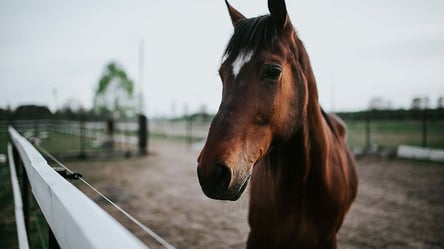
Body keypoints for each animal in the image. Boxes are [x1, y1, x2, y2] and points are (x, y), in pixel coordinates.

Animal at [197, 0, 358, 248]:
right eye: (222, 73)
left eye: (273, 71)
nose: (211, 172)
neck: (302, 182)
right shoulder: (257, 237)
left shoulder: (329, 239)